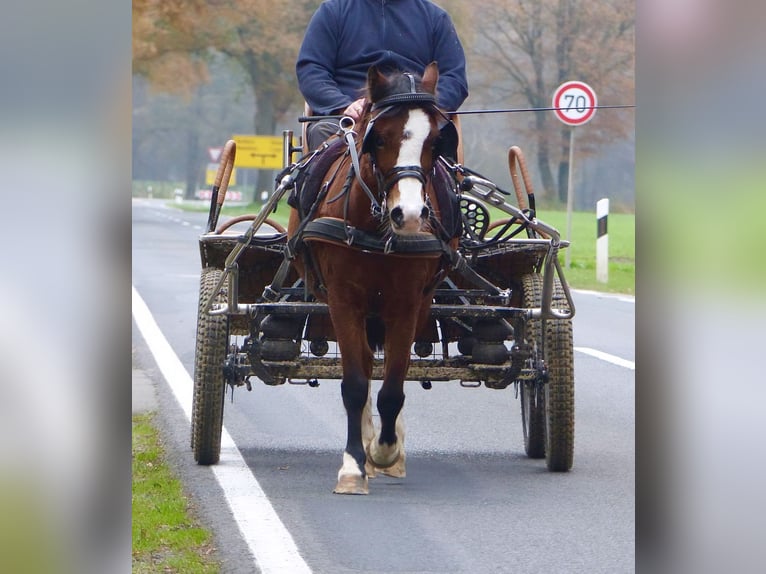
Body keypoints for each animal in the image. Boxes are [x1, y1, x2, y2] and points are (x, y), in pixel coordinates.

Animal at [288, 62, 456, 496]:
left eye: (437, 140)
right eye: (378, 137)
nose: (410, 215)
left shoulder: (407, 304)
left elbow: (393, 387)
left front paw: (386, 451)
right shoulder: (343, 301)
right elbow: (355, 383)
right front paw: (353, 466)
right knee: (363, 364)